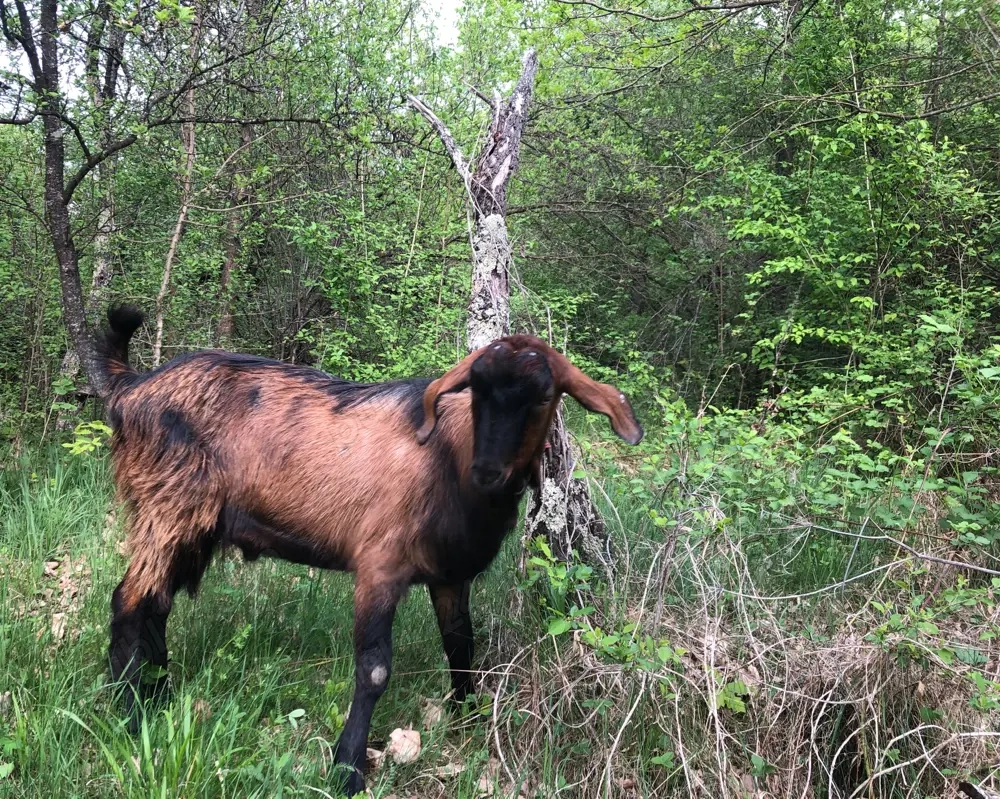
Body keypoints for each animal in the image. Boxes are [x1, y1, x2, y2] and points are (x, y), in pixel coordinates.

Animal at [97, 306, 643, 795]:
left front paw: (467, 719)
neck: (448, 458)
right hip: (167, 506)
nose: (488, 471)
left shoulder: (451, 575)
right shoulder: (380, 566)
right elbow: (375, 668)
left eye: (545, 395)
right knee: (129, 601)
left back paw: (159, 694)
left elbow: (461, 644)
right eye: (477, 389)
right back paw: (129, 713)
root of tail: (132, 386)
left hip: (193, 526)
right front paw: (346, 768)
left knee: (157, 604)